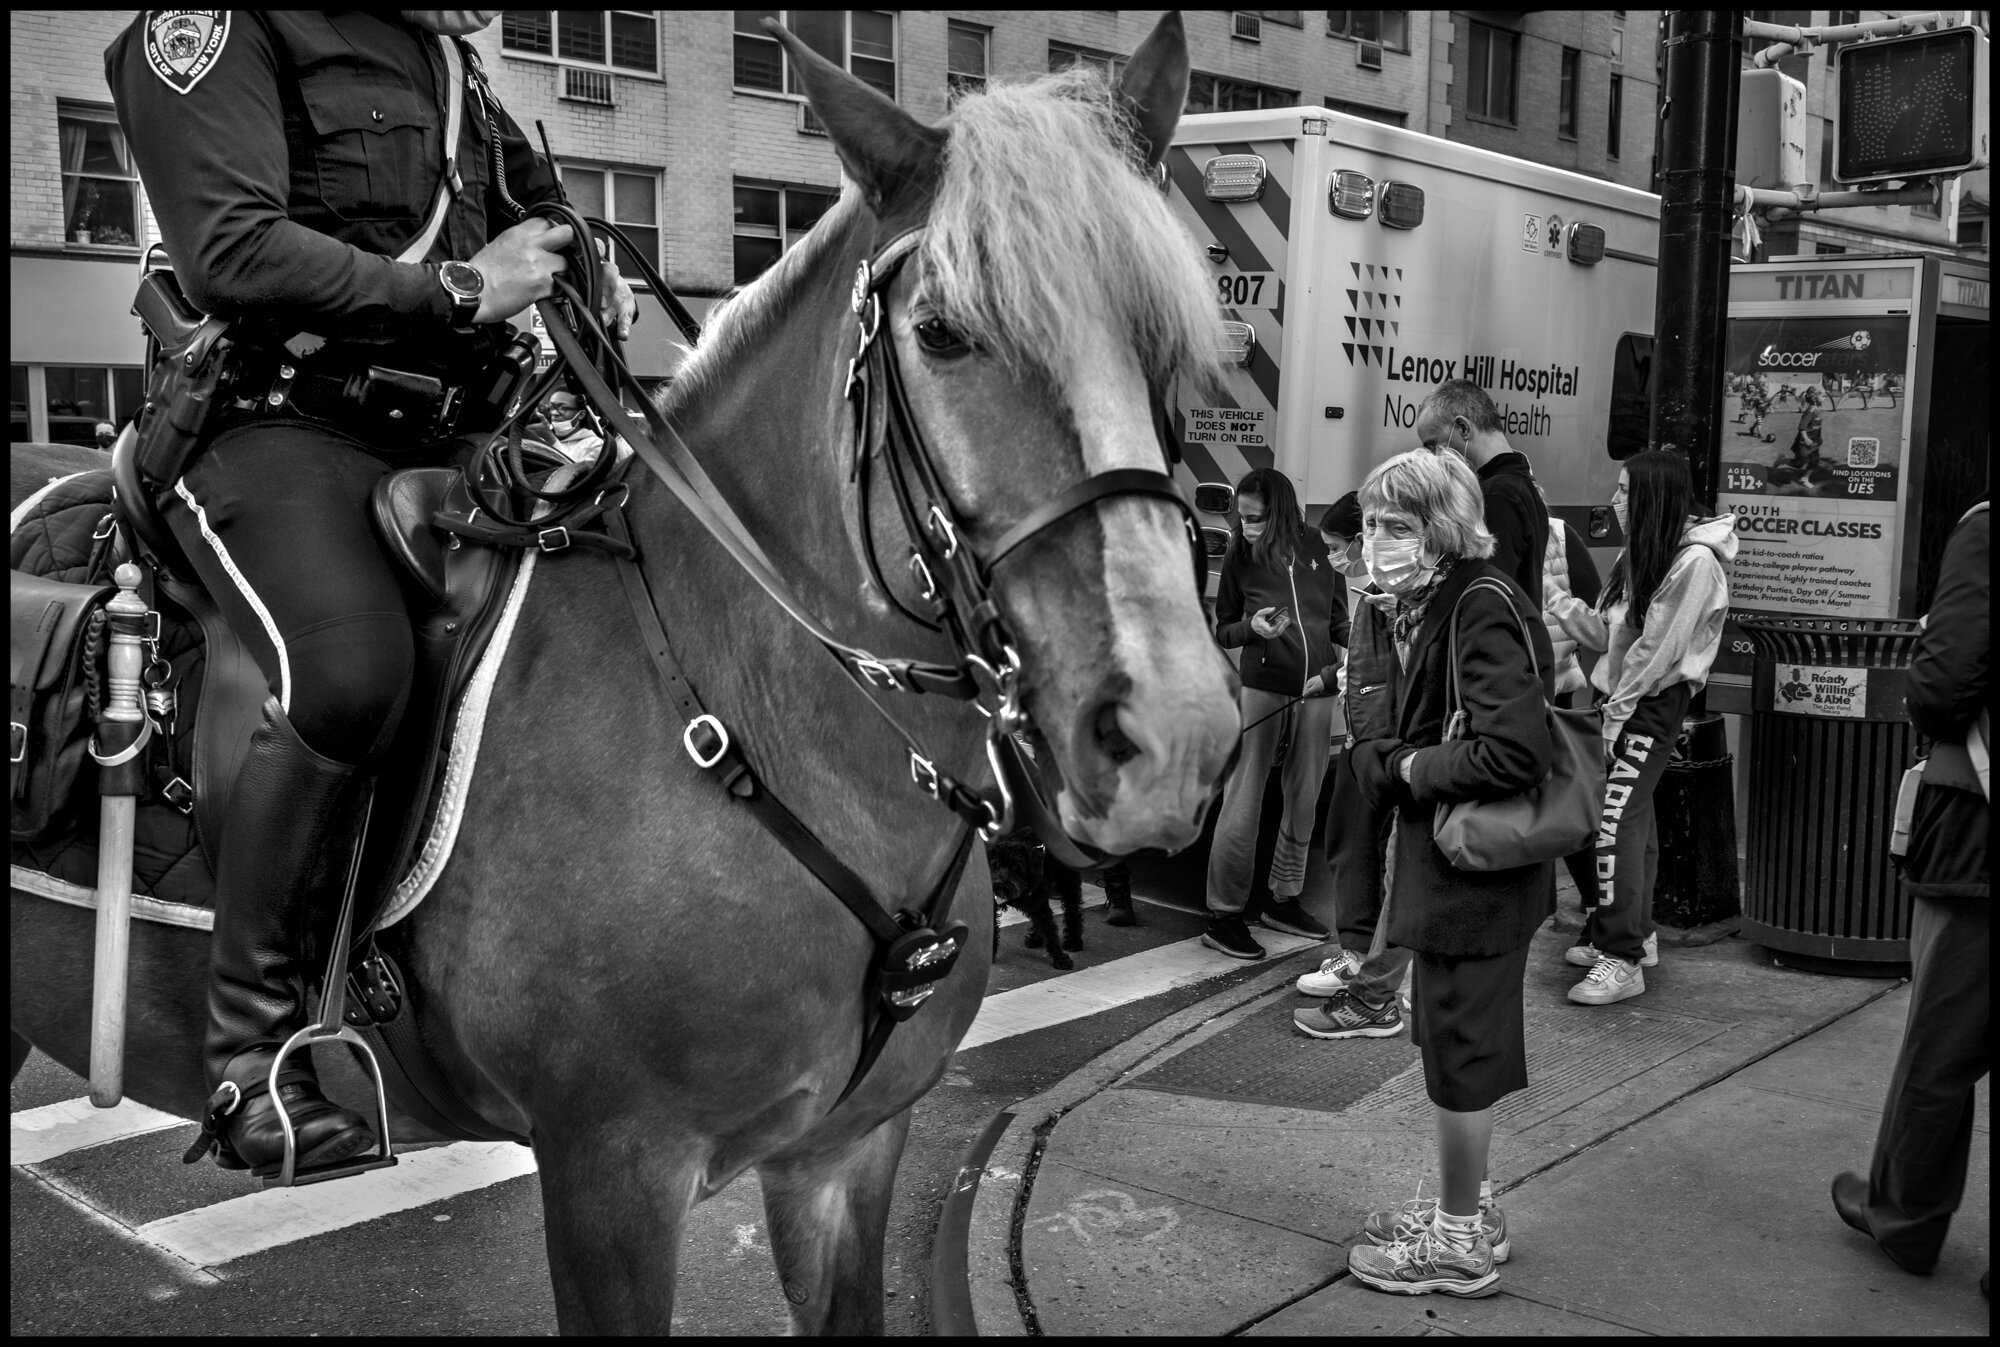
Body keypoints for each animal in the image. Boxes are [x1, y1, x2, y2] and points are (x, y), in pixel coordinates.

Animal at [980, 827, 1080, 967]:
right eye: (995, 864)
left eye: (1015, 866)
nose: (998, 883)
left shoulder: (1039, 903)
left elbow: (1050, 930)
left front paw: (1060, 958)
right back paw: (1035, 939)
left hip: (1068, 883)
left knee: (1073, 910)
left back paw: (1073, 941)